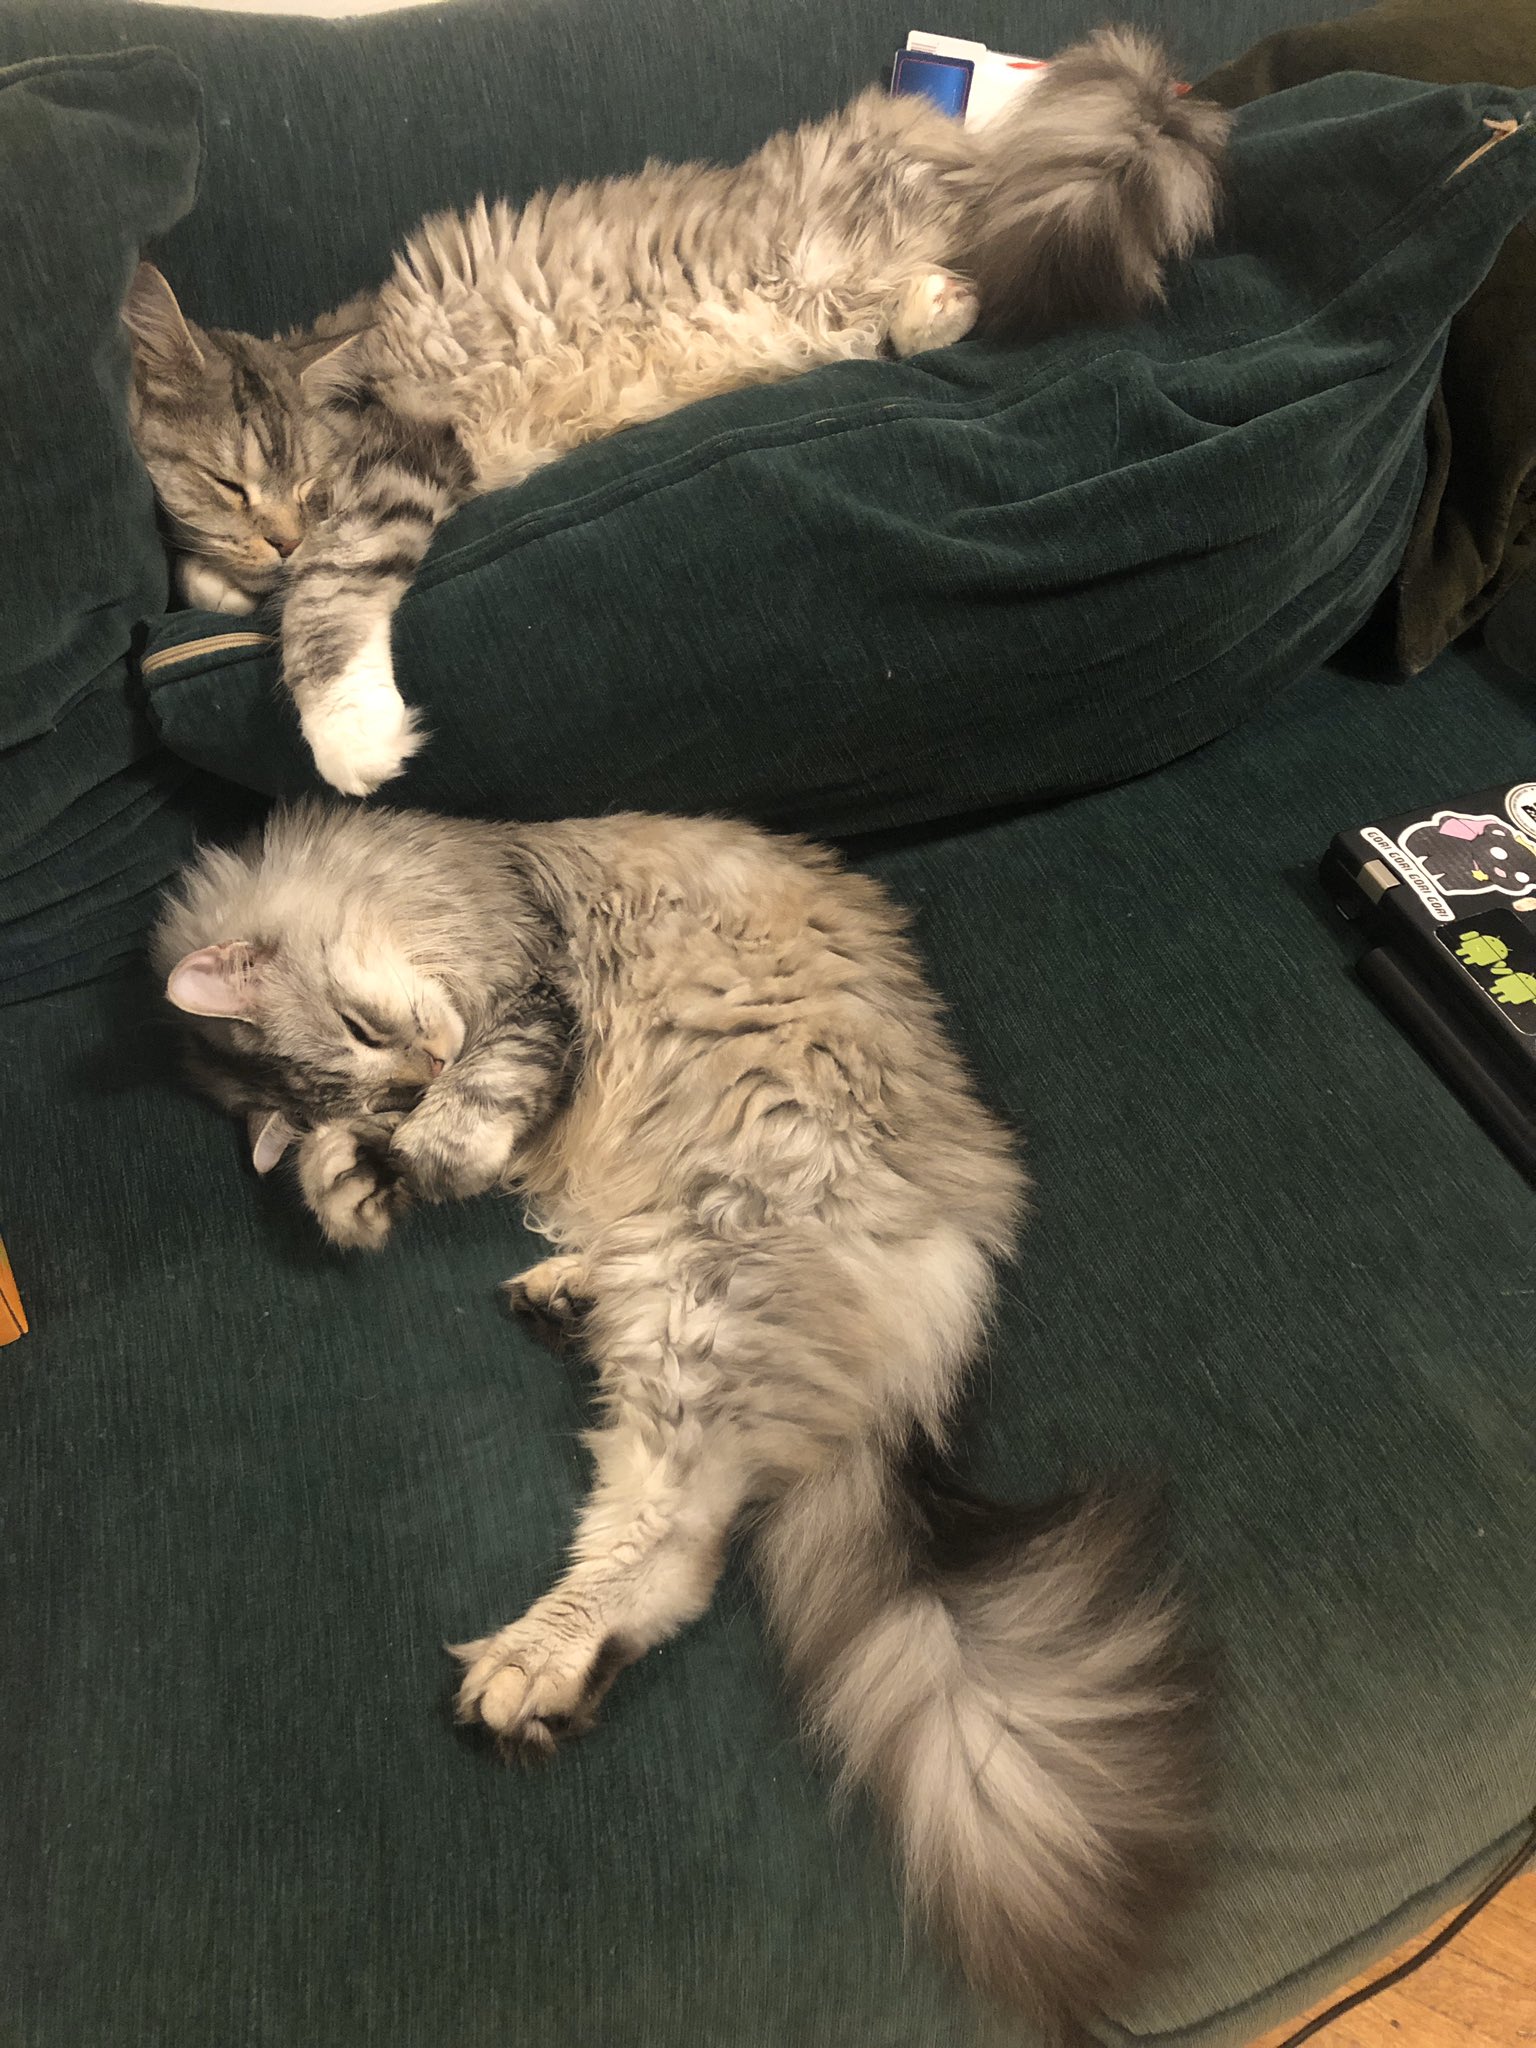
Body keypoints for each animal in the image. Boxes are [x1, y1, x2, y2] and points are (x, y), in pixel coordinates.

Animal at [126, 34, 1236, 798]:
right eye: (230, 480)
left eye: (304, 483)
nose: (277, 533)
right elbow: (223, 566)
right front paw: (226, 575)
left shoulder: (399, 457)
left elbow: (331, 590)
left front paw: (351, 733)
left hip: (899, 236)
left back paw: (945, 296)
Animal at [159, 798, 1212, 2031]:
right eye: (372, 1064)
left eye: (365, 1031)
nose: (418, 1073)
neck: (433, 866)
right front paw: (353, 1176)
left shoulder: (528, 991)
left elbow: (483, 1102)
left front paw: (408, 1160)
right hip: (679, 1301)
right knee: (675, 1536)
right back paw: (560, 1339)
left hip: (697, 1288)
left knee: (683, 1539)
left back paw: (533, 1662)